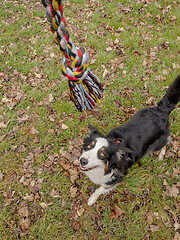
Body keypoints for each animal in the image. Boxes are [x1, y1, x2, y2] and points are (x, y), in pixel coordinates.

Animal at [79, 74, 179, 204]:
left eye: (102, 155)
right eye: (89, 146)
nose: (82, 160)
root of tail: (161, 110)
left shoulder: (117, 178)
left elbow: (101, 189)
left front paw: (92, 199)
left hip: (157, 143)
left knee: (167, 142)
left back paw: (161, 155)